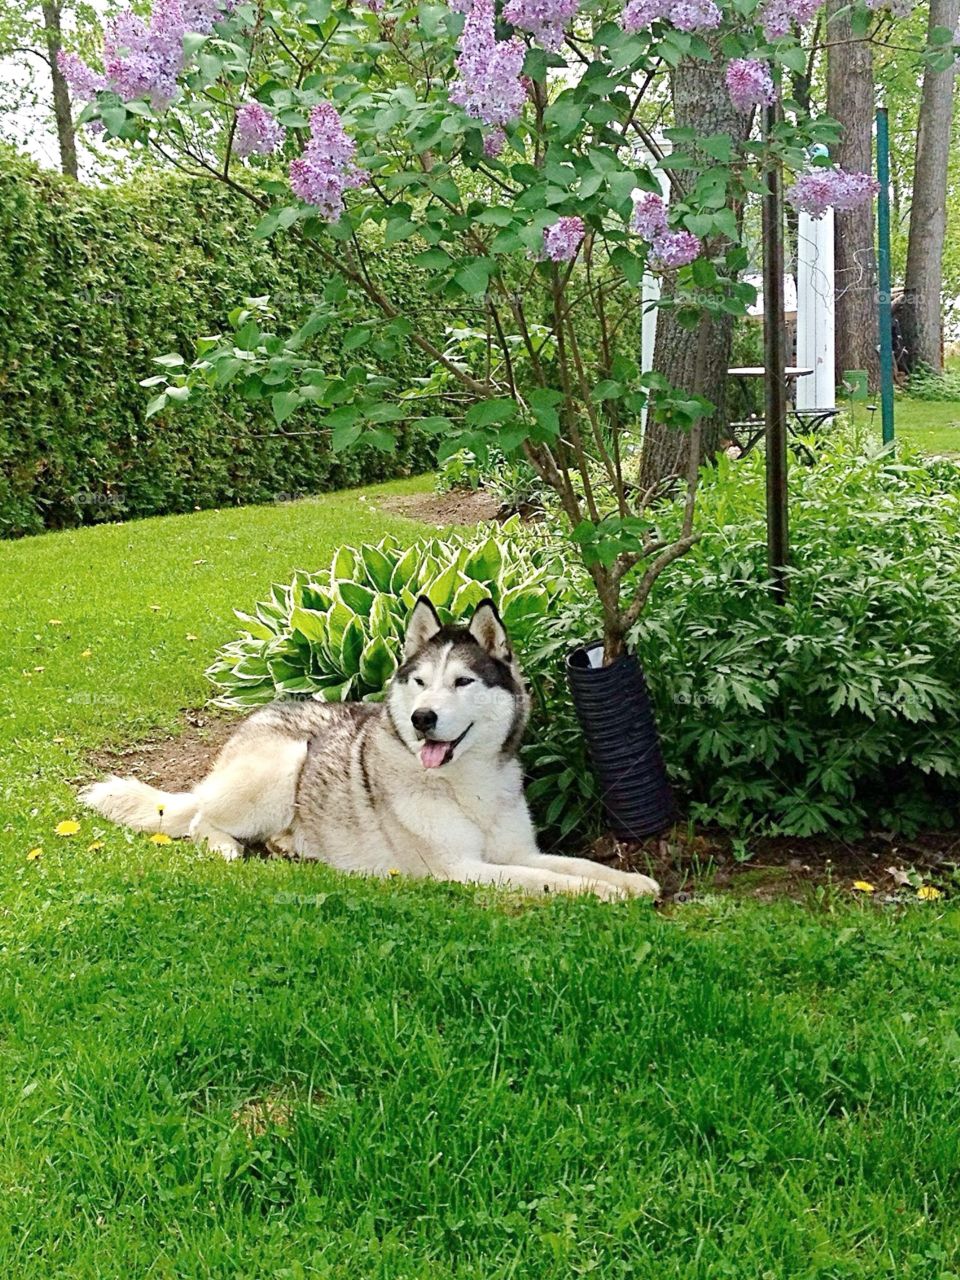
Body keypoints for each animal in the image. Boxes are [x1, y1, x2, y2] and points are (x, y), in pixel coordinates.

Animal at [80, 599, 660, 901]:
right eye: (421, 682)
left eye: (463, 682)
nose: (422, 718)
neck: (465, 786)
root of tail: (264, 711)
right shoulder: (464, 869)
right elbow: (552, 882)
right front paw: (610, 896)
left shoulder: (519, 851)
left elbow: (575, 865)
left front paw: (631, 880)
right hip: (285, 766)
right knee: (202, 820)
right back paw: (227, 848)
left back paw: (288, 847)